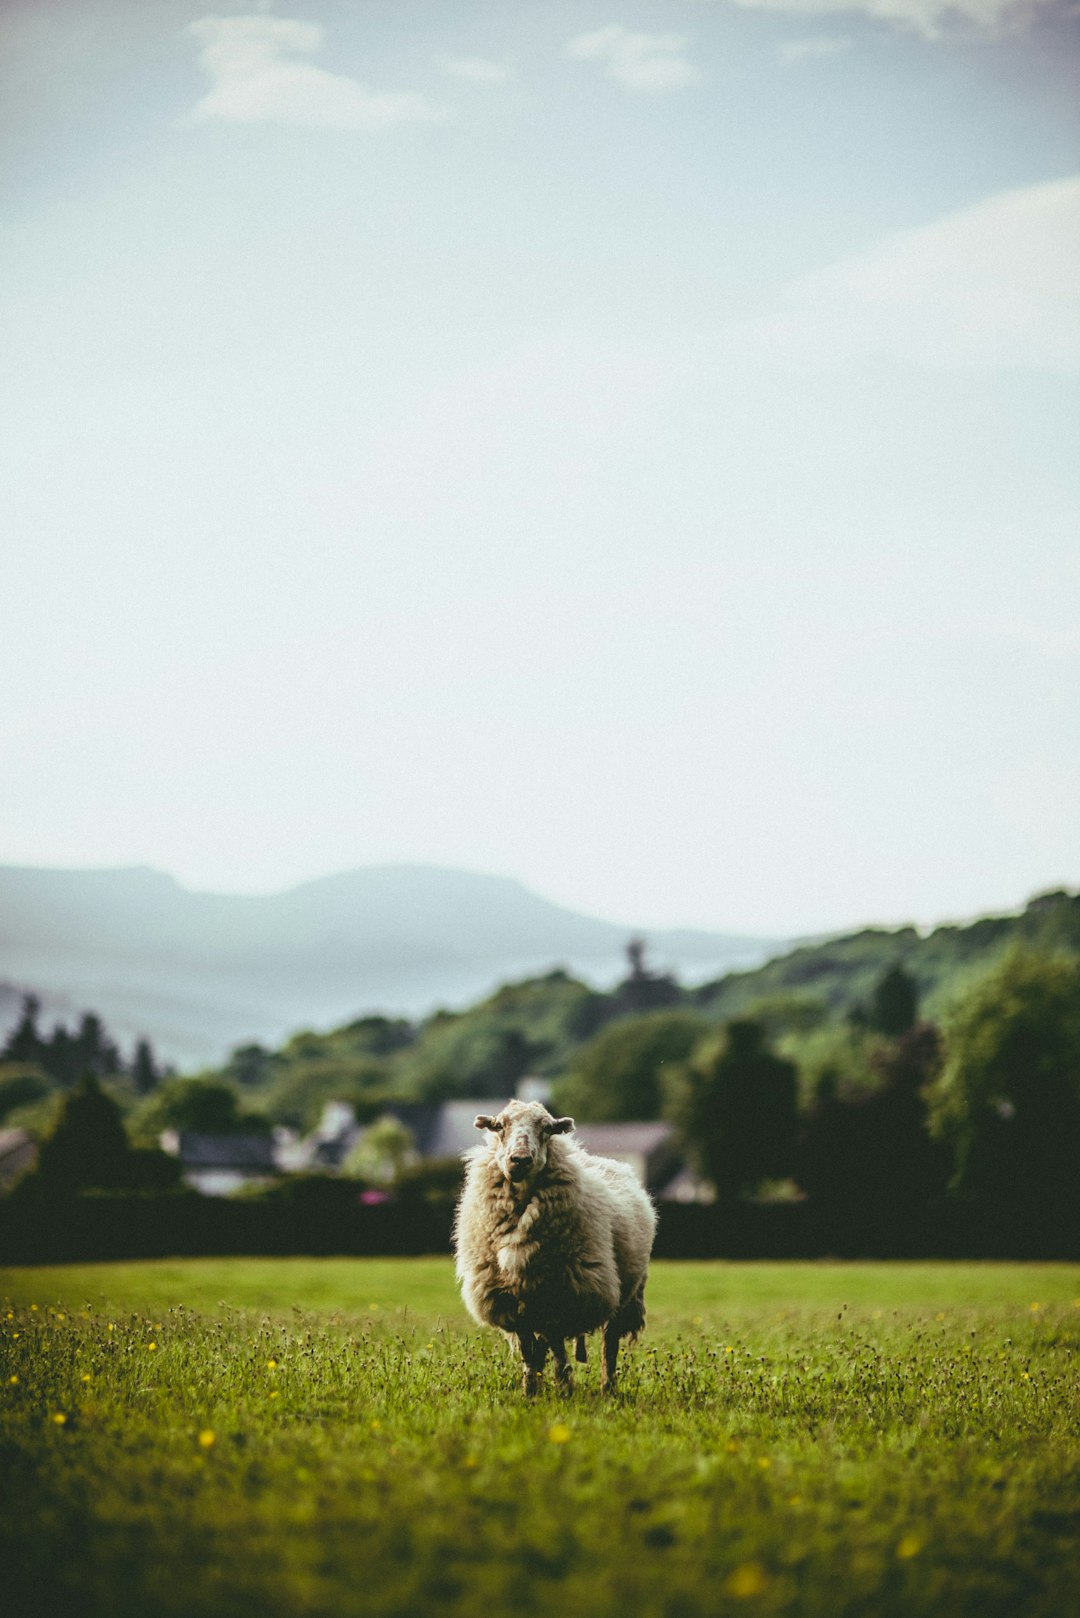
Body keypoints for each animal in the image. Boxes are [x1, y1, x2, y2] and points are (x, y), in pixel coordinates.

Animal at [453, 1093, 660, 1397]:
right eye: (499, 1126)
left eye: (547, 1129)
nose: (520, 1160)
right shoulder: (512, 1300)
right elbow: (529, 1350)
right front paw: (531, 1391)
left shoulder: (561, 1295)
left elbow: (556, 1345)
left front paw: (563, 1386)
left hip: (626, 1294)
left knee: (609, 1345)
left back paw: (607, 1388)